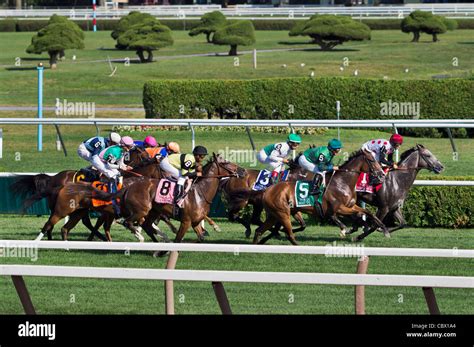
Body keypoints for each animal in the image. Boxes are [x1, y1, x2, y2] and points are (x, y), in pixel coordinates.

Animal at [252, 149, 388, 245]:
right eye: (371, 160)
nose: (382, 174)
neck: (342, 182)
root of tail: (268, 190)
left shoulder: (351, 206)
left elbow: (368, 213)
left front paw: (384, 229)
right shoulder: (339, 208)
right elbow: (338, 219)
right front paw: (344, 230)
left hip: (278, 214)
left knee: (263, 229)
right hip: (282, 213)